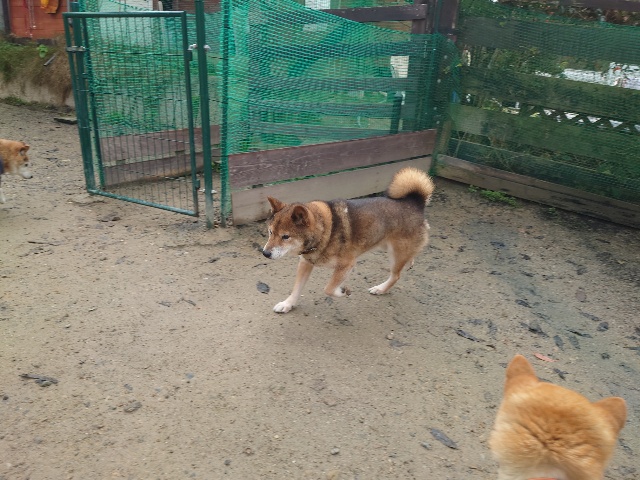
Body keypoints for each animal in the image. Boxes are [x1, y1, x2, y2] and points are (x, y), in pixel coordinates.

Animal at [262, 167, 434, 313]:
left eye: (285, 237)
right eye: (270, 232)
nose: (265, 253)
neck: (326, 232)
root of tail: (415, 202)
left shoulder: (346, 265)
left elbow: (329, 289)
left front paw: (343, 291)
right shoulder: (305, 263)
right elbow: (296, 289)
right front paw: (287, 304)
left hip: (395, 254)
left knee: (396, 275)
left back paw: (380, 289)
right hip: (386, 245)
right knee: (409, 257)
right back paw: (410, 262)